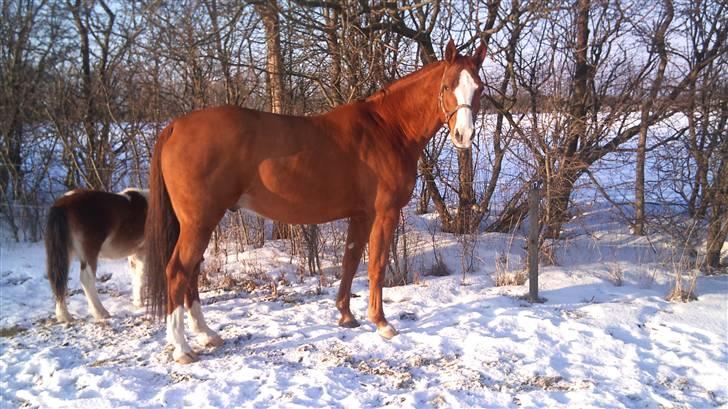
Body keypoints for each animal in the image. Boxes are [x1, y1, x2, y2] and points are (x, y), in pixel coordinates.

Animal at [45, 187, 148, 322]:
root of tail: (62, 203)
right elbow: (143, 274)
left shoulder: (135, 253)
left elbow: (137, 275)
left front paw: (137, 302)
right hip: (90, 254)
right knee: (87, 279)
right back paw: (101, 313)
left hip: (66, 254)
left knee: (58, 279)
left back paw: (64, 316)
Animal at [144, 39, 486, 364]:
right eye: (447, 86)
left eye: (479, 88)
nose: (464, 135)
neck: (388, 129)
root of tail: (174, 126)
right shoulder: (385, 213)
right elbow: (376, 265)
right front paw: (382, 323)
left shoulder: (361, 215)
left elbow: (351, 261)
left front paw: (346, 316)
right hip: (199, 222)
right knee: (178, 271)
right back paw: (182, 349)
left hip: (200, 223)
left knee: (191, 273)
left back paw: (207, 334)